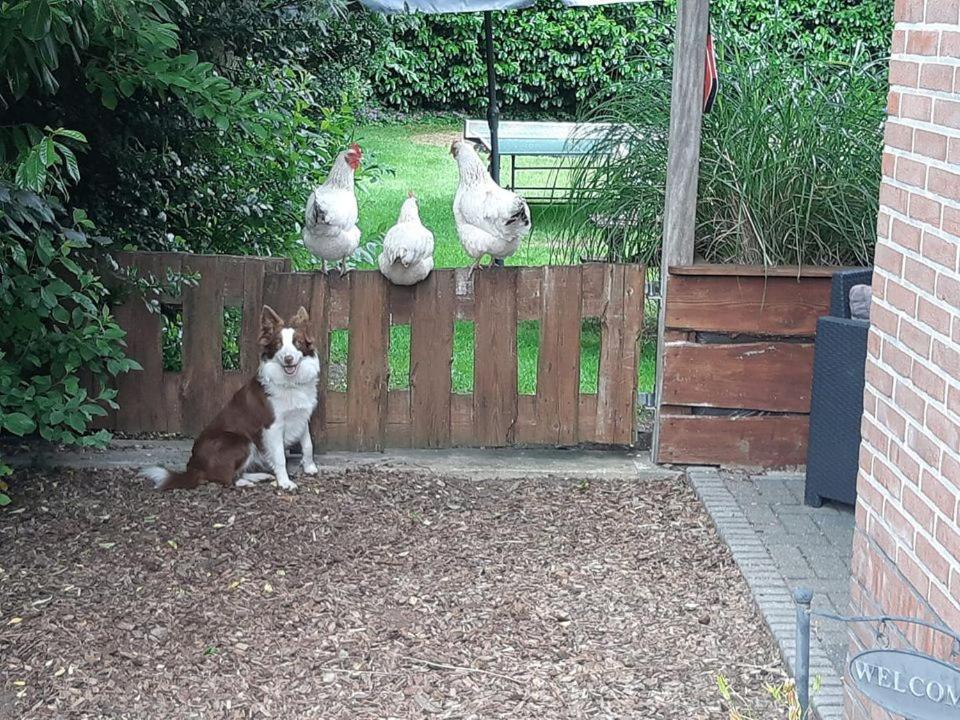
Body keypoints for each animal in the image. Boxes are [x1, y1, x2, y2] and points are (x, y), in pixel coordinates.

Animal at [142, 304, 322, 490]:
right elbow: (280, 457)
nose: (288, 359)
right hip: (241, 441)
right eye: (278, 345)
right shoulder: (273, 426)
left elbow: (308, 445)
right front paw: (285, 482)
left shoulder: (301, 416)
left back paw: (259, 476)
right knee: (225, 477)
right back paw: (245, 482)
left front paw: (310, 467)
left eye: (297, 343)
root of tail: (193, 468)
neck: (290, 383)